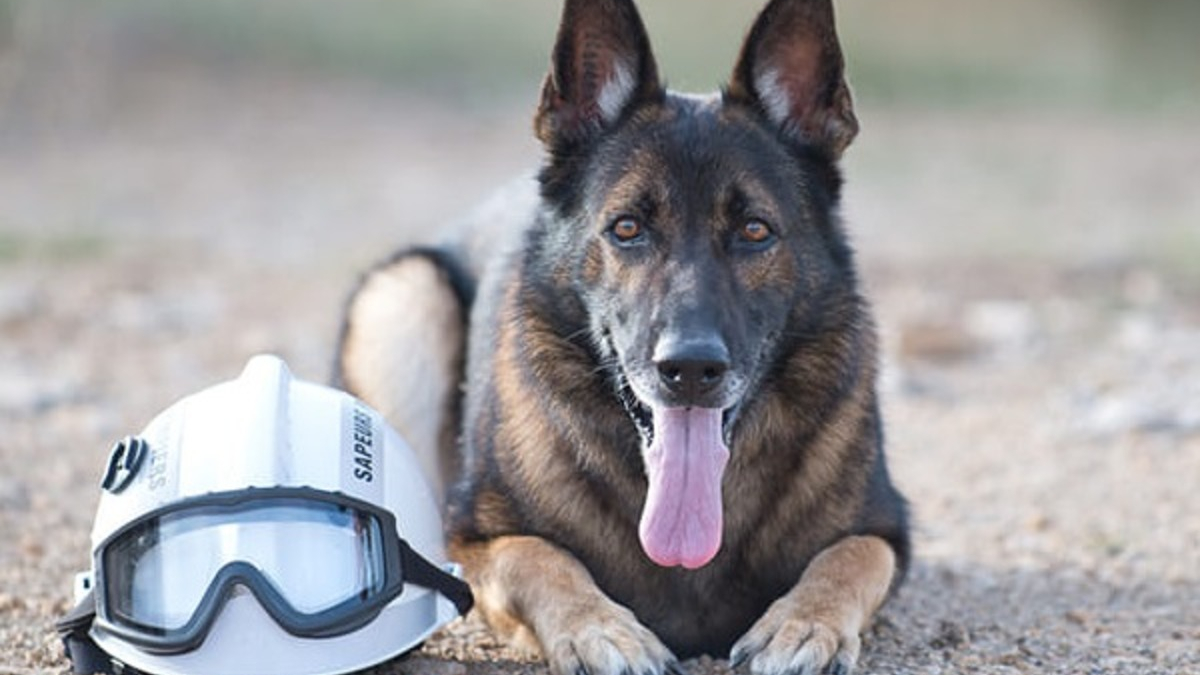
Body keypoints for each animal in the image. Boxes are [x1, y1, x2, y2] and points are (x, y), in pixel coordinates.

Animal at [333, 1, 902, 672]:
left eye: (755, 231)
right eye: (627, 228)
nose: (690, 369)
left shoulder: (887, 530)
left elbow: (848, 557)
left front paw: (804, 624)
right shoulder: (478, 534)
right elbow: (539, 558)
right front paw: (600, 631)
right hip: (404, 296)